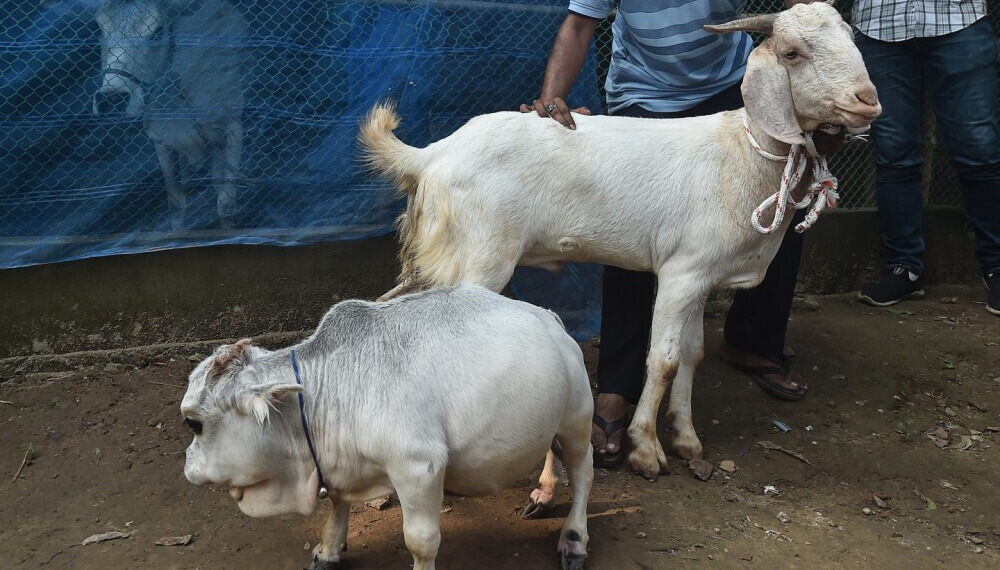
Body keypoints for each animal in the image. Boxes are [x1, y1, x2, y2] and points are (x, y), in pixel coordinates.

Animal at [181, 284, 592, 568]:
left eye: (193, 424)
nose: (187, 463)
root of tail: (550, 318)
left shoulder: (419, 466)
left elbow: (421, 542)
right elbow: (338, 505)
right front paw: (328, 550)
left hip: (577, 419)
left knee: (582, 472)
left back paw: (573, 538)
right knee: (551, 450)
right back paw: (543, 493)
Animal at [360, 2, 884, 478]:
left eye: (851, 39)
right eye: (793, 53)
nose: (867, 99)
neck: (741, 153)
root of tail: (431, 155)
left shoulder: (702, 275)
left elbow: (691, 355)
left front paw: (687, 438)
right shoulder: (681, 273)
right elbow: (664, 361)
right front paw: (646, 450)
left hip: (444, 255)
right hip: (480, 254)